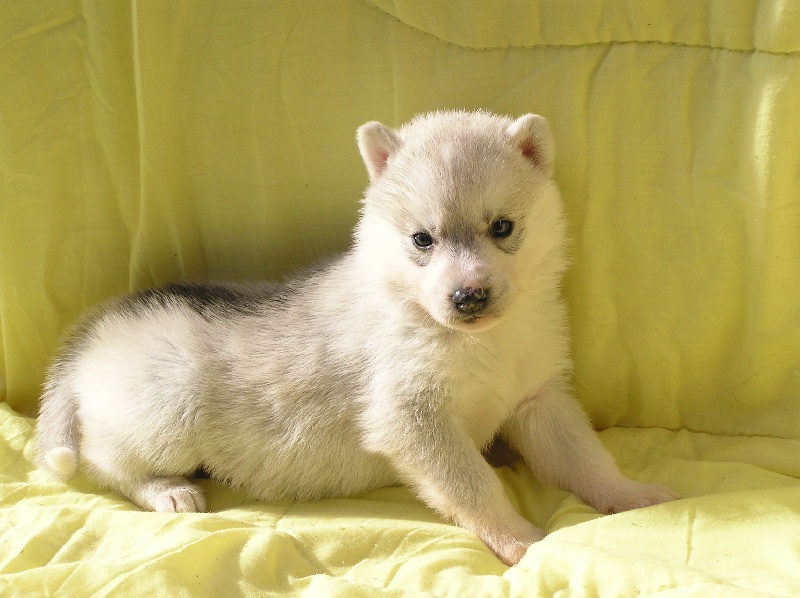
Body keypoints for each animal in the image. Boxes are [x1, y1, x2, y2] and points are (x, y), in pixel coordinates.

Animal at [36, 110, 677, 565]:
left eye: (502, 227)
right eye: (422, 240)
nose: (468, 297)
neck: (474, 340)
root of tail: (97, 328)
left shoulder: (539, 400)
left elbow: (585, 457)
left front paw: (627, 494)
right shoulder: (413, 420)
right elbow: (476, 485)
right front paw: (519, 537)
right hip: (166, 408)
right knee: (104, 460)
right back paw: (166, 491)